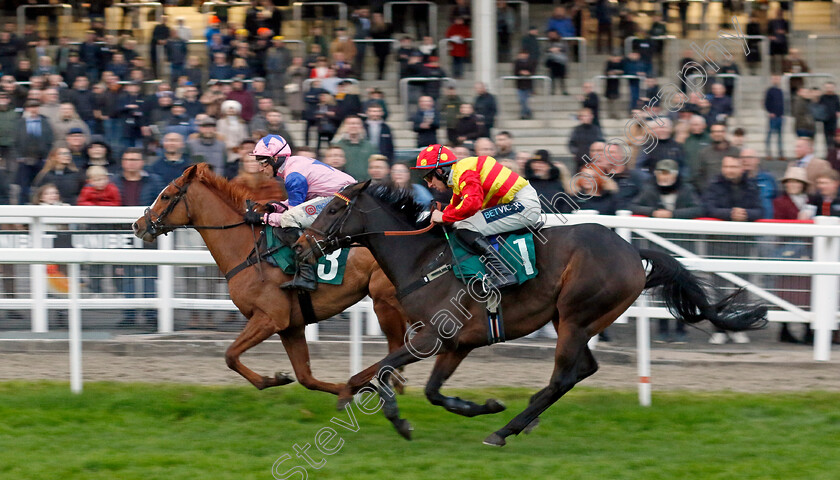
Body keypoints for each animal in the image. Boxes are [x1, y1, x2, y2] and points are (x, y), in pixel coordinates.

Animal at [131, 163, 410, 396]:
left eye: (166, 196)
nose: (137, 225)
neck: (247, 250)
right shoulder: (291, 326)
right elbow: (306, 377)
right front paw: (291, 379)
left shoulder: (269, 317)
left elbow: (230, 355)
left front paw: (270, 380)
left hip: (384, 301)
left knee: (398, 347)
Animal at [296, 183, 768, 446]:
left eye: (333, 209)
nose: (301, 246)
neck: (423, 260)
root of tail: (633, 250)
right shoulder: (456, 344)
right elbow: (429, 390)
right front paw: (480, 404)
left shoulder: (430, 338)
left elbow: (381, 371)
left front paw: (390, 415)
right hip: (573, 320)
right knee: (582, 370)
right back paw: (522, 419)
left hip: (577, 315)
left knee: (562, 377)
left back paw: (505, 431)